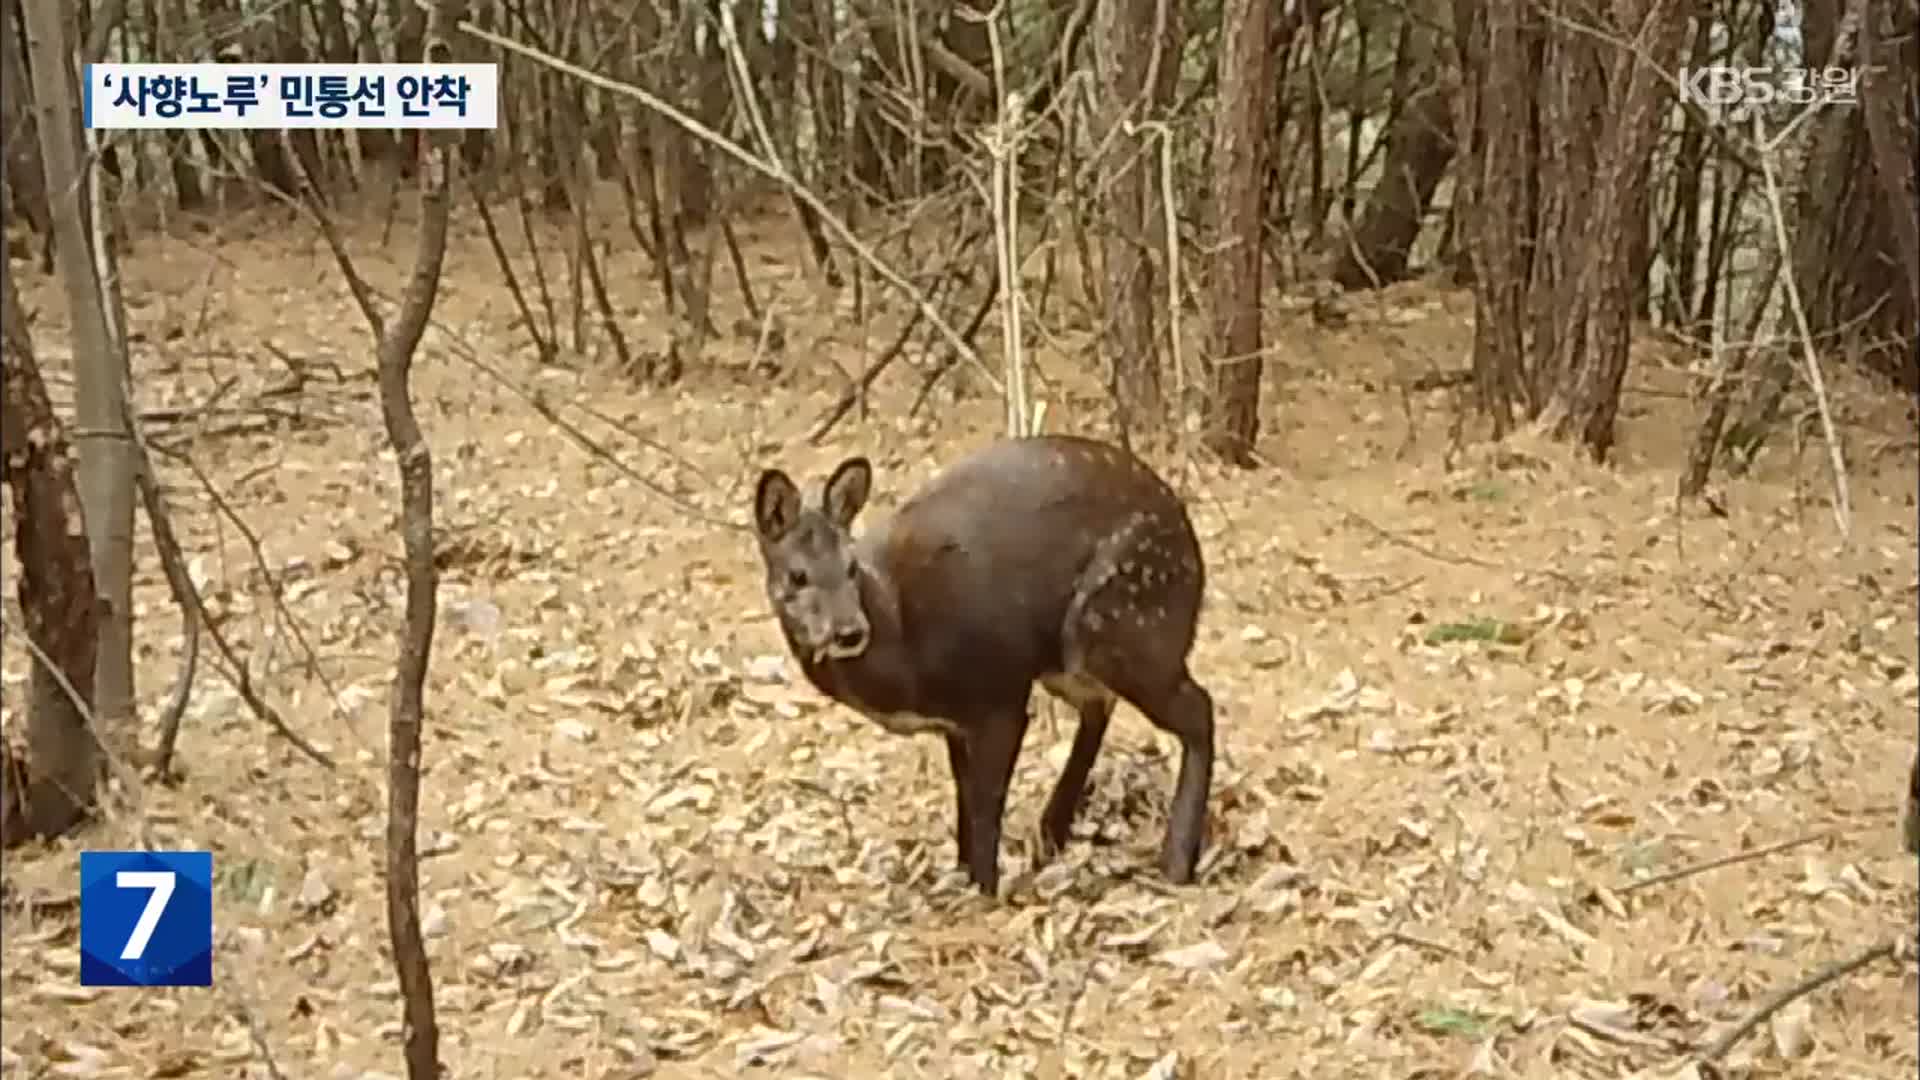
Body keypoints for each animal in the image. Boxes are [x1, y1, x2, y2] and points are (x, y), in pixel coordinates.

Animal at [748, 428, 1213, 891]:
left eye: (850, 567)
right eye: (797, 576)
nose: (850, 632)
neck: (901, 637)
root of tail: (1191, 544)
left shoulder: (999, 692)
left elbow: (987, 801)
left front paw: (985, 888)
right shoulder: (958, 720)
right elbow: (964, 794)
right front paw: (963, 874)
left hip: (1127, 621)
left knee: (1198, 707)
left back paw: (1174, 862)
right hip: (1070, 655)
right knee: (1102, 707)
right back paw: (1050, 836)